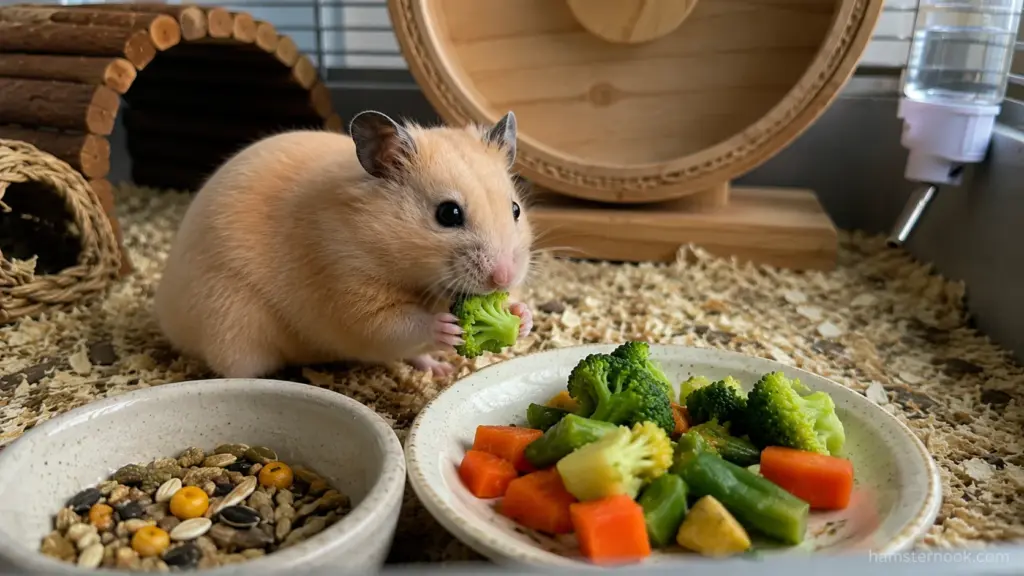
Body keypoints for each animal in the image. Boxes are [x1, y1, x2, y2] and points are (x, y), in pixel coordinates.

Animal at [153, 110, 534, 379]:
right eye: (448, 213)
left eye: (515, 209)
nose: (503, 278)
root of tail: (168, 318)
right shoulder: (349, 292)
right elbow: (397, 326)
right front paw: (448, 327)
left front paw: (522, 317)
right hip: (230, 322)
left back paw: (439, 369)